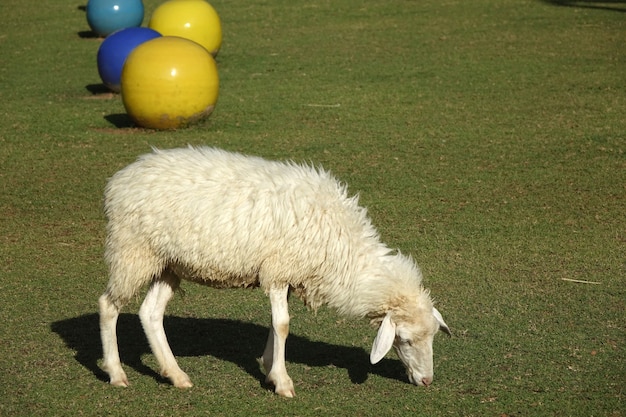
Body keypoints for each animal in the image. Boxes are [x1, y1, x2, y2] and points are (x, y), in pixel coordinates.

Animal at [98, 146, 448, 396]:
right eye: (404, 341)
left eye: (432, 337)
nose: (427, 381)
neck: (343, 250)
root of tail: (120, 179)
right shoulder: (280, 269)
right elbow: (282, 325)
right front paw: (282, 381)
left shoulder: (286, 276)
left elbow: (274, 322)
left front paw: (268, 368)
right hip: (133, 251)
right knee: (109, 306)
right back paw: (116, 373)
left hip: (168, 263)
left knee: (150, 313)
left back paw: (176, 375)